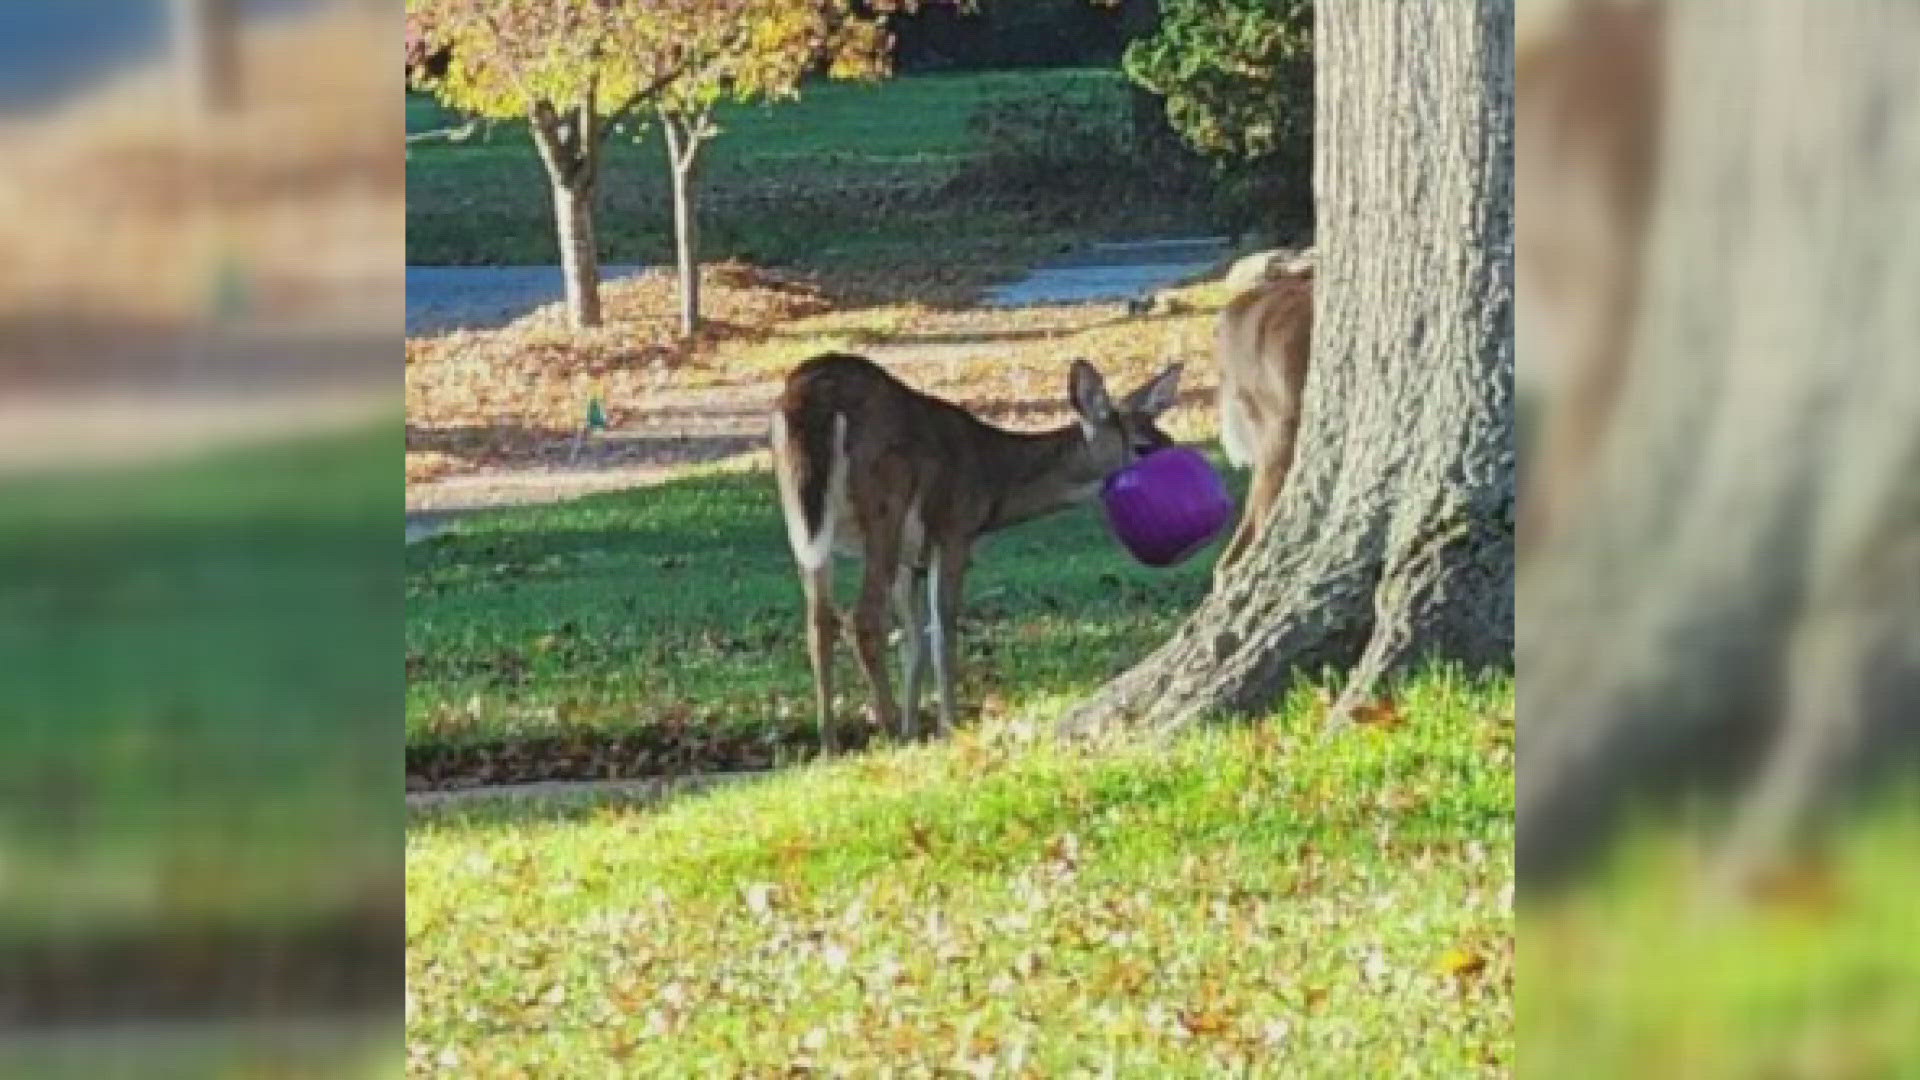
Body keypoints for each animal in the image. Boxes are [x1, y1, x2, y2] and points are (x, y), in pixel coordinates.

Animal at [768, 353, 1182, 749]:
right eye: (1142, 446)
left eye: (1169, 438)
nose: (1178, 467)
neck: (992, 481)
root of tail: (811, 398)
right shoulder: (954, 531)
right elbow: (943, 631)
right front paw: (946, 728)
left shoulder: (910, 560)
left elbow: (914, 642)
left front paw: (915, 729)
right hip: (886, 502)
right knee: (862, 618)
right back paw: (888, 730)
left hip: (800, 515)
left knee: (819, 622)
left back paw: (831, 744)